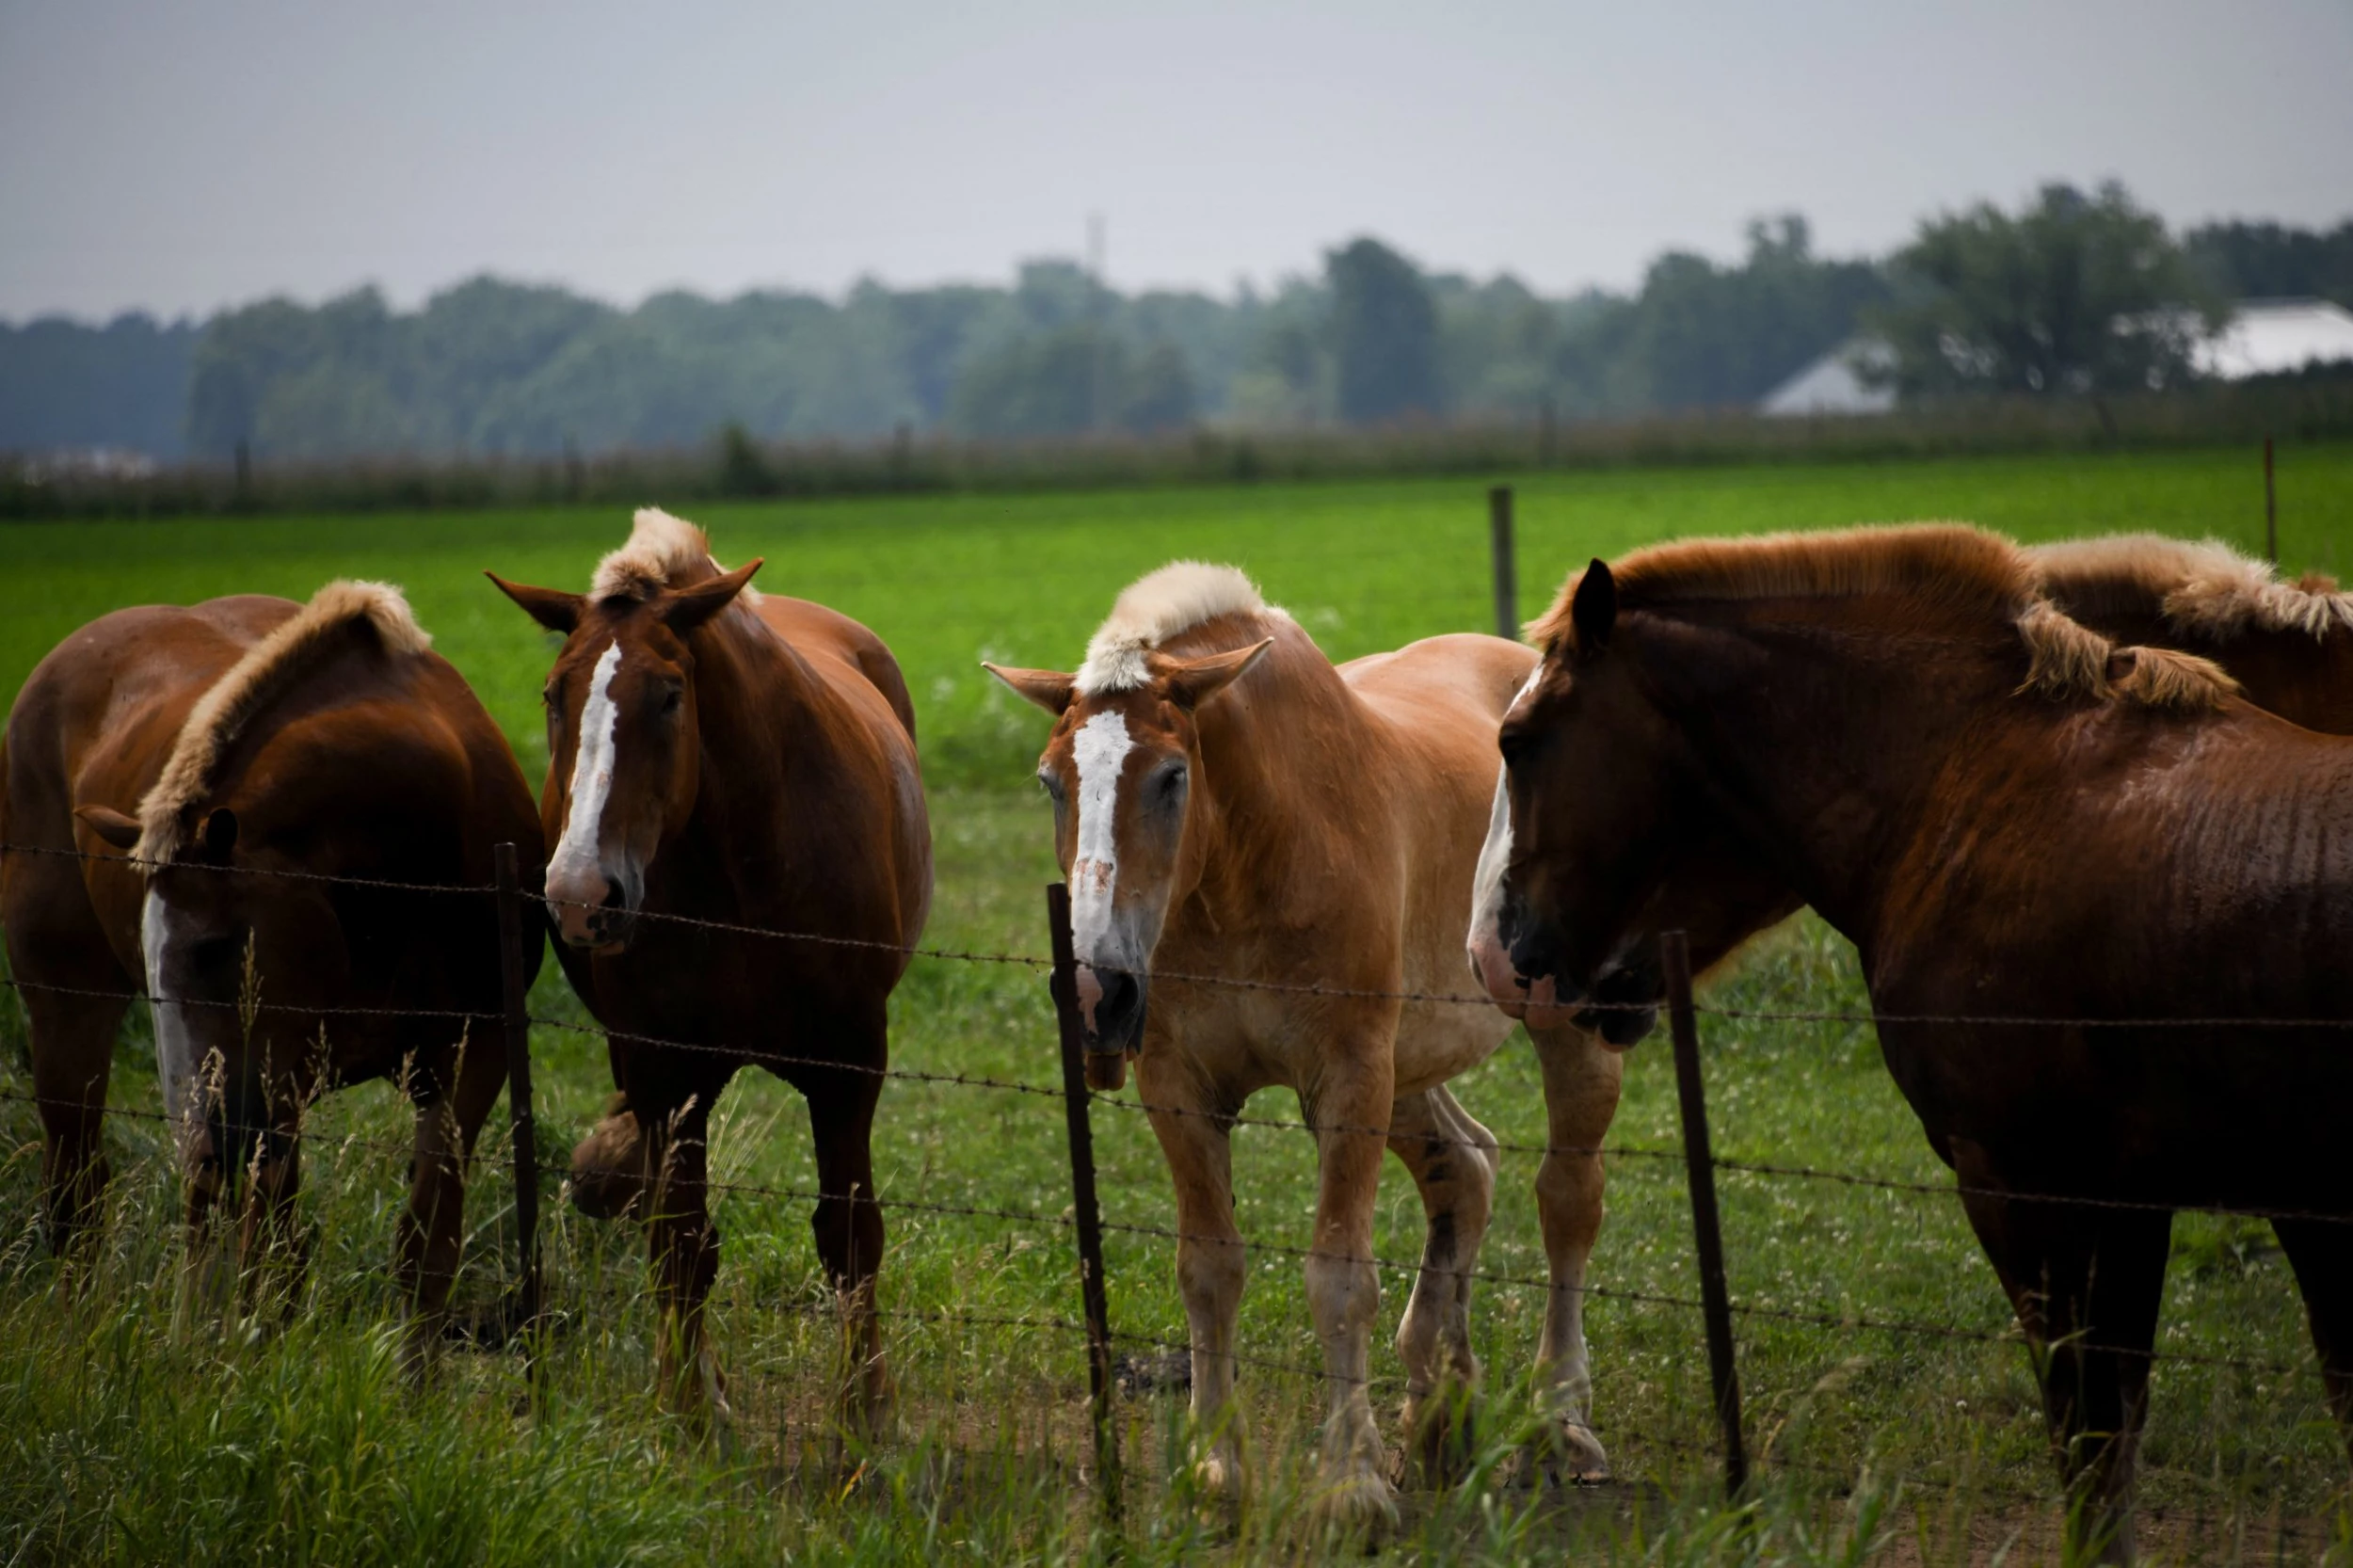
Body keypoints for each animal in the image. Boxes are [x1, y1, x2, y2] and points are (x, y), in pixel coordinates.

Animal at [0, 581, 541, 1366]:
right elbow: (270, 1247)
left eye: (216, 948)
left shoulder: (473, 1055)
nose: (203, 1143)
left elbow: (426, 1237)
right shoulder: (271, 1086)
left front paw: (415, 1378)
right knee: (83, 1193)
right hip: (75, 1019)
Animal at [488, 508, 931, 1433]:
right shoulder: (663, 1068)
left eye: (668, 694)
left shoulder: (850, 1065)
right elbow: (681, 1237)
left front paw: (866, 1410)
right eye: (553, 696)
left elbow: (850, 1234)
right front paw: (687, 1406)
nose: (581, 894)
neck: (746, 867)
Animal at [986, 562, 1630, 1532]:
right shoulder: (1181, 1087)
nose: (1099, 991)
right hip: (1411, 1068)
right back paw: (1440, 1409)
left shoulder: (1348, 1078)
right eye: (1051, 781)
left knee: (1567, 1201)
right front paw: (1216, 1468)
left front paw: (1351, 1485)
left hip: (1553, 1032)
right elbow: (1209, 1270)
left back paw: (1563, 1423)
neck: (1253, 857)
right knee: (1466, 1169)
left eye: (1172, 776)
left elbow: (1339, 1277)